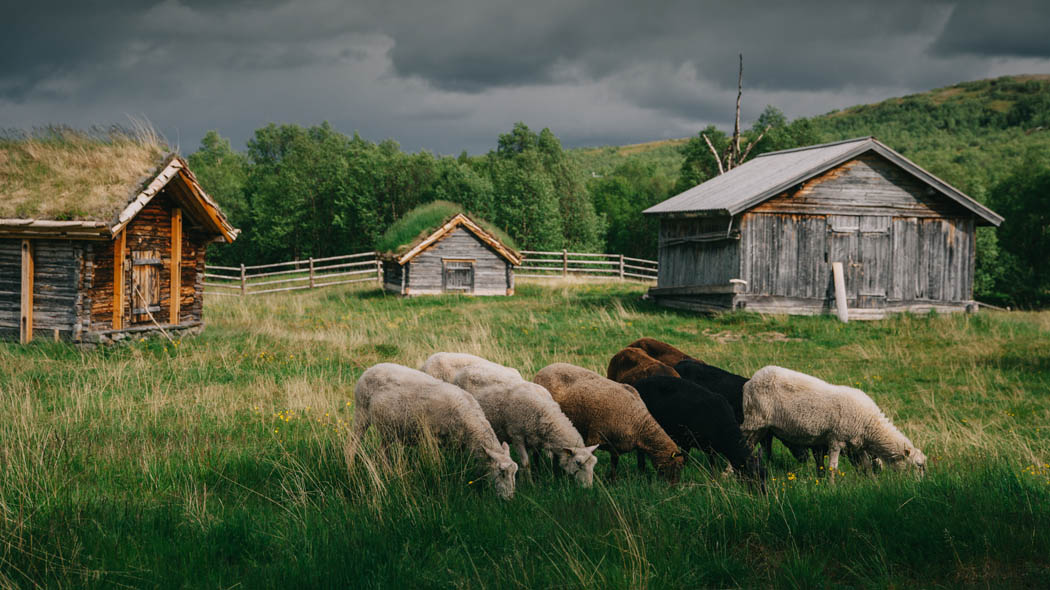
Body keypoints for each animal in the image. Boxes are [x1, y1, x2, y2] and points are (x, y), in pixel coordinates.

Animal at [350, 363, 518, 495]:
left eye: (515, 473)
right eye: (502, 472)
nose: (509, 499)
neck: (470, 421)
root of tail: (370, 368)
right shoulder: (432, 438)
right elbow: (437, 465)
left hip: (388, 429)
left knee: (382, 452)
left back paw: (388, 473)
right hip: (361, 411)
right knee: (351, 444)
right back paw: (350, 467)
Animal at [451, 363, 600, 487]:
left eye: (594, 463)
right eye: (578, 463)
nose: (588, 488)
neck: (544, 412)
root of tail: (464, 369)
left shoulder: (535, 439)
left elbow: (541, 459)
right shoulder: (517, 436)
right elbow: (526, 463)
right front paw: (529, 484)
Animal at [533, 361, 680, 480]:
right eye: (675, 466)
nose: (673, 487)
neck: (639, 423)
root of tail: (543, 370)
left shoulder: (616, 444)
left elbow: (615, 463)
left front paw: (613, 480)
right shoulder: (595, 436)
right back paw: (538, 472)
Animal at [625, 373, 768, 485]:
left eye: (764, 475)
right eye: (752, 476)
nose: (762, 496)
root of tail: (637, 383)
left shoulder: (711, 448)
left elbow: (712, 464)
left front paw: (713, 479)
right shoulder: (686, 440)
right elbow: (686, 460)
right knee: (640, 452)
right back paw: (641, 471)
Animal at [743, 365, 923, 480]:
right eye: (919, 465)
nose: (919, 486)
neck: (870, 424)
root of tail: (752, 379)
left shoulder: (857, 445)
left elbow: (866, 467)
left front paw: (874, 484)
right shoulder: (836, 439)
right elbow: (833, 468)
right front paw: (831, 487)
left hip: (763, 428)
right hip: (753, 421)